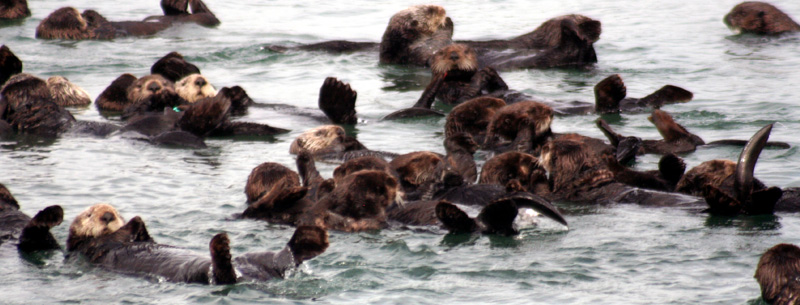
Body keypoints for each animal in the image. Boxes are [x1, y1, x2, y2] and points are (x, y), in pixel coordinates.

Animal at [65, 203, 328, 284]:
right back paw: (220, 245)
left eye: (113, 210)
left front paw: (138, 222)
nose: (108, 215)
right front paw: (132, 222)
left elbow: (146, 238)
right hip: (199, 273)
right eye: (89, 214)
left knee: (281, 258)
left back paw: (310, 238)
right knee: (222, 274)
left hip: (255, 258)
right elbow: (114, 238)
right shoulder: (95, 248)